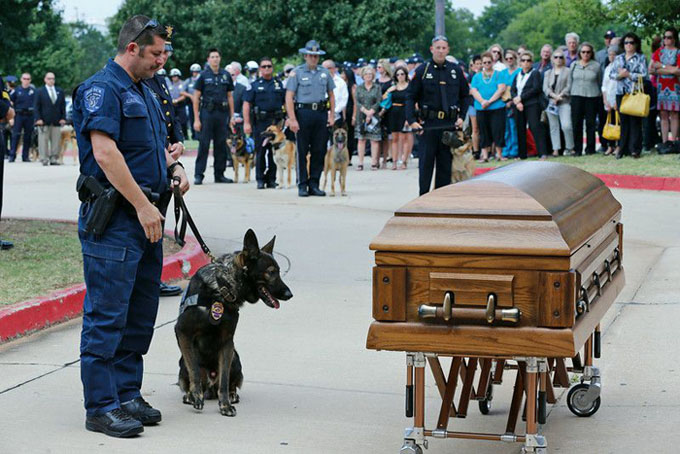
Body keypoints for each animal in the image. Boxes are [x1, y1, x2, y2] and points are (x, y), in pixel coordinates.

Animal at [173, 229, 292, 416]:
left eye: (279, 271)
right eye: (271, 272)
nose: (289, 294)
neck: (222, 289)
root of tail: (210, 385)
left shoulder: (227, 342)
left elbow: (224, 379)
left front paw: (225, 405)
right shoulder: (183, 332)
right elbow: (194, 371)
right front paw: (196, 396)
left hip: (235, 357)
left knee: (228, 381)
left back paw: (231, 394)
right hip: (182, 363)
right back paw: (190, 395)